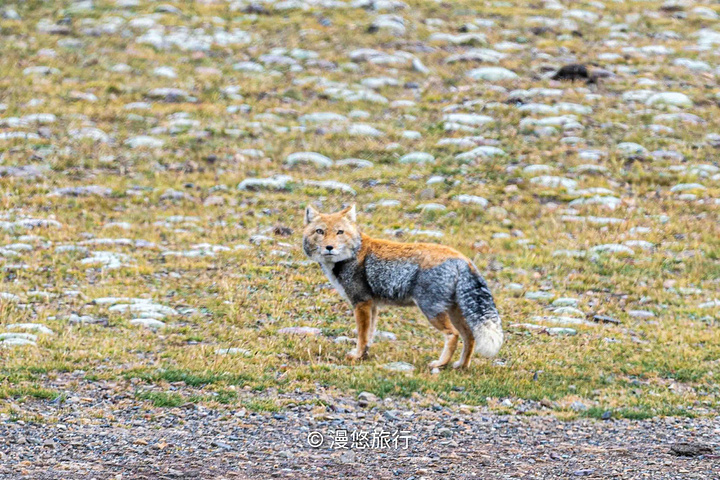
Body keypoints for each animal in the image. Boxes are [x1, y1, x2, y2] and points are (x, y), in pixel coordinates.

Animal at [300, 204, 504, 370]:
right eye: (320, 231)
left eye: (340, 232)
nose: (329, 247)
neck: (354, 253)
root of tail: (463, 259)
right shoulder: (372, 305)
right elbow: (369, 335)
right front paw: (364, 355)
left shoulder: (361, 302)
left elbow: (362, 335)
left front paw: (357, 355)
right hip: (454, 312)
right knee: (469, 336)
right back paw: (461, 365)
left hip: (432, 311)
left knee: (453, 335)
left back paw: (440, 364)